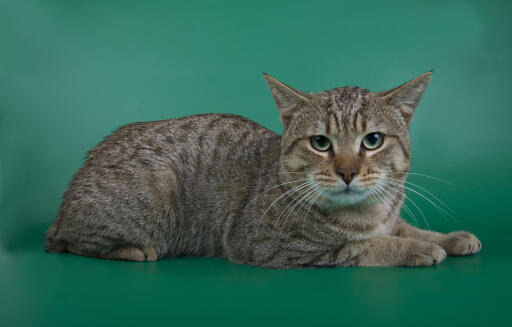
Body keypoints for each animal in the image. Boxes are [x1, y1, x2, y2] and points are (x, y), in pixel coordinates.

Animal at [44, 72, 480, 270]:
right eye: (320, 142)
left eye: (372, 140)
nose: (348, 172)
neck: (366, 213)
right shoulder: (273, 246)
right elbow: (367, 246)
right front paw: (418, 249)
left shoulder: (390, 216)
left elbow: (406, 227)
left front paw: (450, 237)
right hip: (151, 192)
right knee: (72, 243)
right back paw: (133, 249)